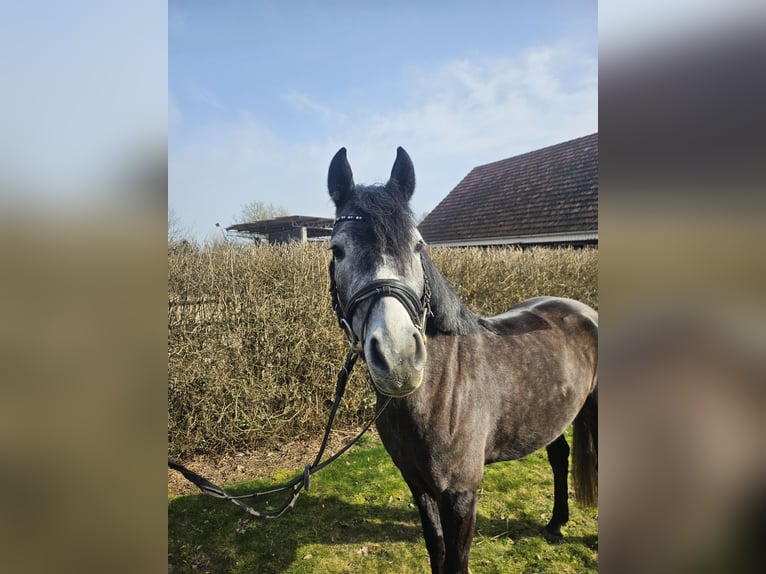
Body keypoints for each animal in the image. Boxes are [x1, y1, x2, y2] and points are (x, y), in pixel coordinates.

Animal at [326, 147, 598, 573]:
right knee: (559, 457)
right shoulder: (418, 487)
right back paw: (556, 523)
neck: (440, 388)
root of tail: (584, 310)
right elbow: (436, 551)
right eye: (337, 250)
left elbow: (456, 560)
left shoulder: (460, 494)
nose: (398, 356)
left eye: (418, 246)